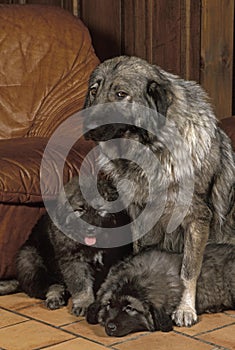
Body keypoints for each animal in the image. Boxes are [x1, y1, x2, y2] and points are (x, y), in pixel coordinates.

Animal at [0, 176, 131, 316]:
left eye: (101, 211)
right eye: (80, 210)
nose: (90, 230)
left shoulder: (114, 260)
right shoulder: (73, 261)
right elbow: (81, 284)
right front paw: (84, 303)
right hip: (28, 259)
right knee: (51, 285)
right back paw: (54, 298)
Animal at [82, 54, 235, 326]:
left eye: (121, 94)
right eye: (94, 90)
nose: (86, 125)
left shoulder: (197, 219)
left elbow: (188, 270)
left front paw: (185, 309)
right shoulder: (139, 215)